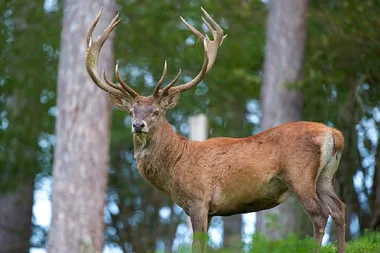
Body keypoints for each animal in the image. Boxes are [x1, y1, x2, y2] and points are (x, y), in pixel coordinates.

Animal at [86, 6, 348, 252]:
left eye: (157, 112)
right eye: (131, 112)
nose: (138, 125)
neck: (176, 166)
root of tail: (334, 135)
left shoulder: (198, 200)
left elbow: (196, 245)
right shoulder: (210, 210)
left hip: (299, 174)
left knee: (319, 214)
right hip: (325, 177)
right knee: (339, 208)